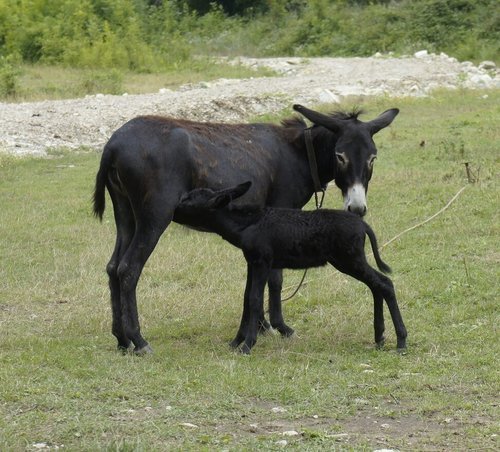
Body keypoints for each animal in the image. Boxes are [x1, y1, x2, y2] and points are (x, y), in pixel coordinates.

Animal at [175, 182, 406, 354]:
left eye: (188, 199)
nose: (173, 208)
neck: (247, 224)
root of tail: (363, 226)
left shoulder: (262, 262)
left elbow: (255, 300)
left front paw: (247, 346)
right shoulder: (253, 262)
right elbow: (246, 299)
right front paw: (235, 343)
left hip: (350, 259)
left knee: (384, 283)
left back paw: (401, 342)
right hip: (350, 260)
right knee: (377, 285)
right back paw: (379, 337)